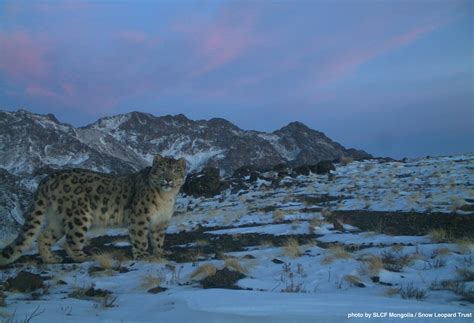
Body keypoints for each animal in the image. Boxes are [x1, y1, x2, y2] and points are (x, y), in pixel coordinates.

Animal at [0, 156, 186, 268]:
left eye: (176, 170)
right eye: (162, 169)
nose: (168, 179)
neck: (166, 198)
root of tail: (47, 178)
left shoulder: (161, 222)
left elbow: (158, 239)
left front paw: (161, 252)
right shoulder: (139, 217)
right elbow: (140, 238)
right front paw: (143, 255)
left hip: (58, 220)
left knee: (44, 237)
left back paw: (51, 259)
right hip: (79, 216)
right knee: (71, 241)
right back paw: (84, 257)